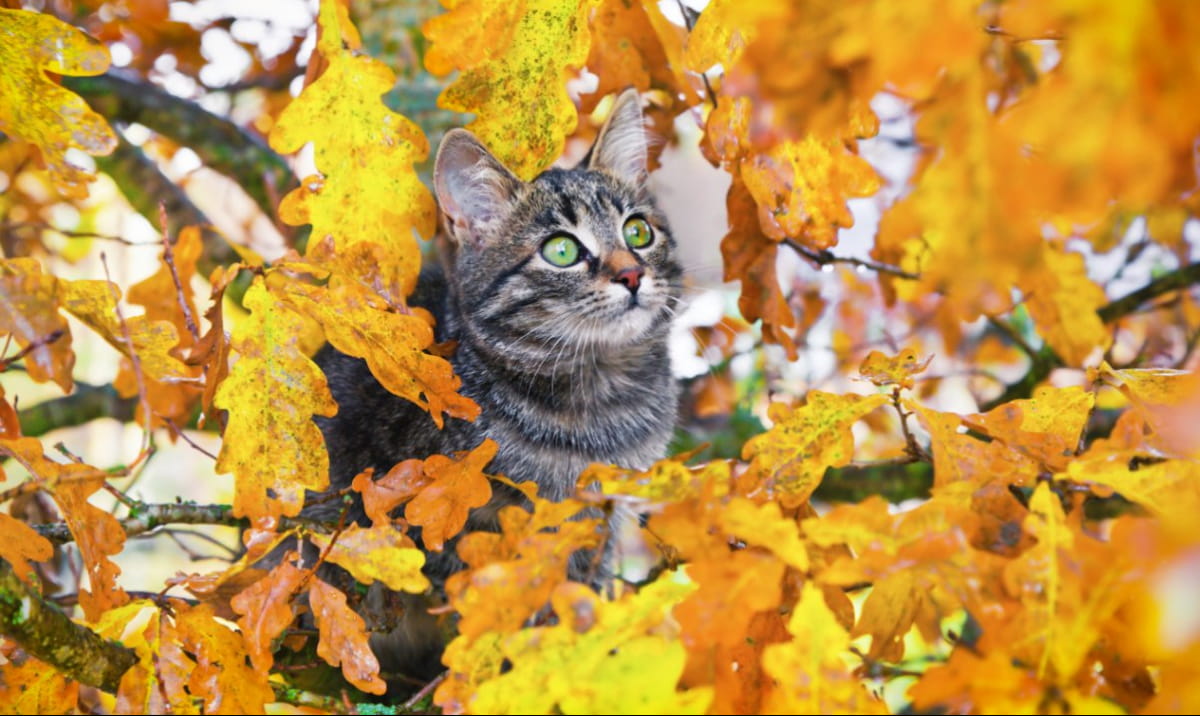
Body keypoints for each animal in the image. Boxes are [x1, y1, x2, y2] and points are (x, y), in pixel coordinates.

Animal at [304, 89, 681, 686]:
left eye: (638, 232)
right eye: (561, 251)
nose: (631, 274)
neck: (600, 391)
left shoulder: (595, 529)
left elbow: (579, 596)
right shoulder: (444, 531)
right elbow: (479, 609)